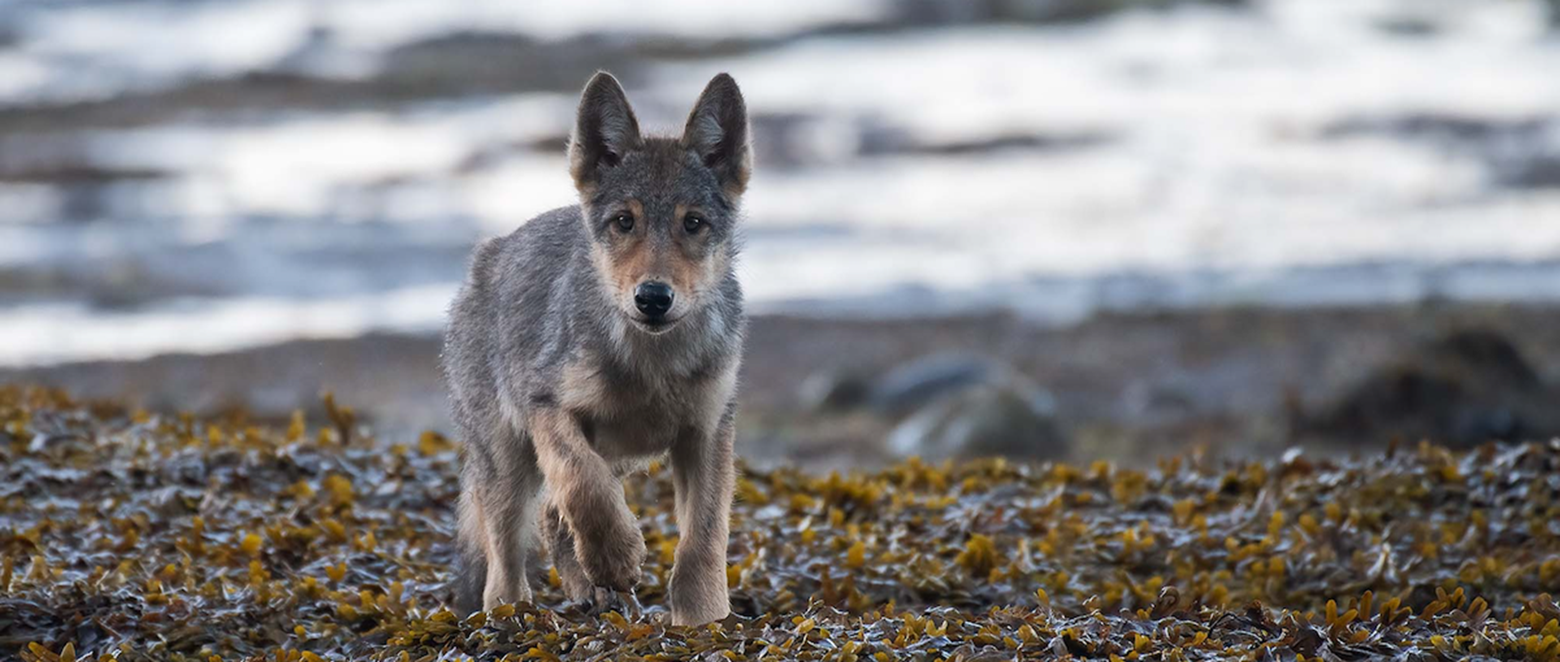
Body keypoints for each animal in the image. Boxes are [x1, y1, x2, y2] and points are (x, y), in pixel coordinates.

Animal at [441, 71, 750, 626]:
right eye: (624, 222)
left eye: (692, 223)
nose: (653, 298)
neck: (653, 364)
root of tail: (488, 256)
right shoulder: (546, 408)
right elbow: (583, 486)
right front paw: (617, 558)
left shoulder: (707, 431)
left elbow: (703, 538)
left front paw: (704, 620)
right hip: (507, 463)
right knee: (505, 561)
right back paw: (513, 616)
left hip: (625, 453)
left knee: (550, 512)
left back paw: (590, 592)